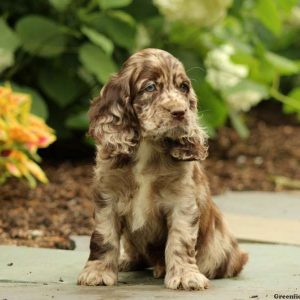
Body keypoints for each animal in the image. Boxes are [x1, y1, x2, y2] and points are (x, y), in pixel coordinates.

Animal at [78, 48, 248, 290]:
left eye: (183, 87)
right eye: (150, 87)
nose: (180, 112)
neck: (147, 148)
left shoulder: (182, 201)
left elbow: (180, 241)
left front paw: (186, 276)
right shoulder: (107, 198)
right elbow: (103, 238)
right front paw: (98, 272)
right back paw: (127, 261)